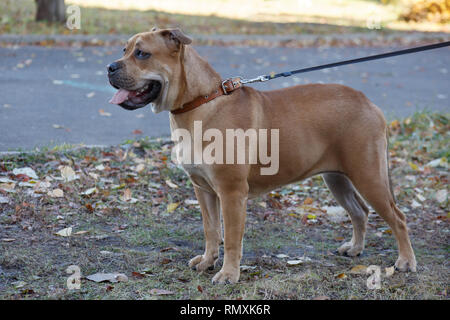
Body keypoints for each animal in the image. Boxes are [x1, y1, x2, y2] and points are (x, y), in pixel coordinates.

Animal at [107, 27, 416, 282]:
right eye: (124, 49)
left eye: (142, 53)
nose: (109, 66)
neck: (199, 103)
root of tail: (369, 103)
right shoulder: (203, 189)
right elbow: (211, 230)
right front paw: (207, 261)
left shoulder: (231, 192)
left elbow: (232, 237)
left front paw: (228, 274)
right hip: (337, 178)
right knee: (359, 211)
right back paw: (354, 249)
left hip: (368, 176)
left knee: (397, 217)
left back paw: (405, 262)